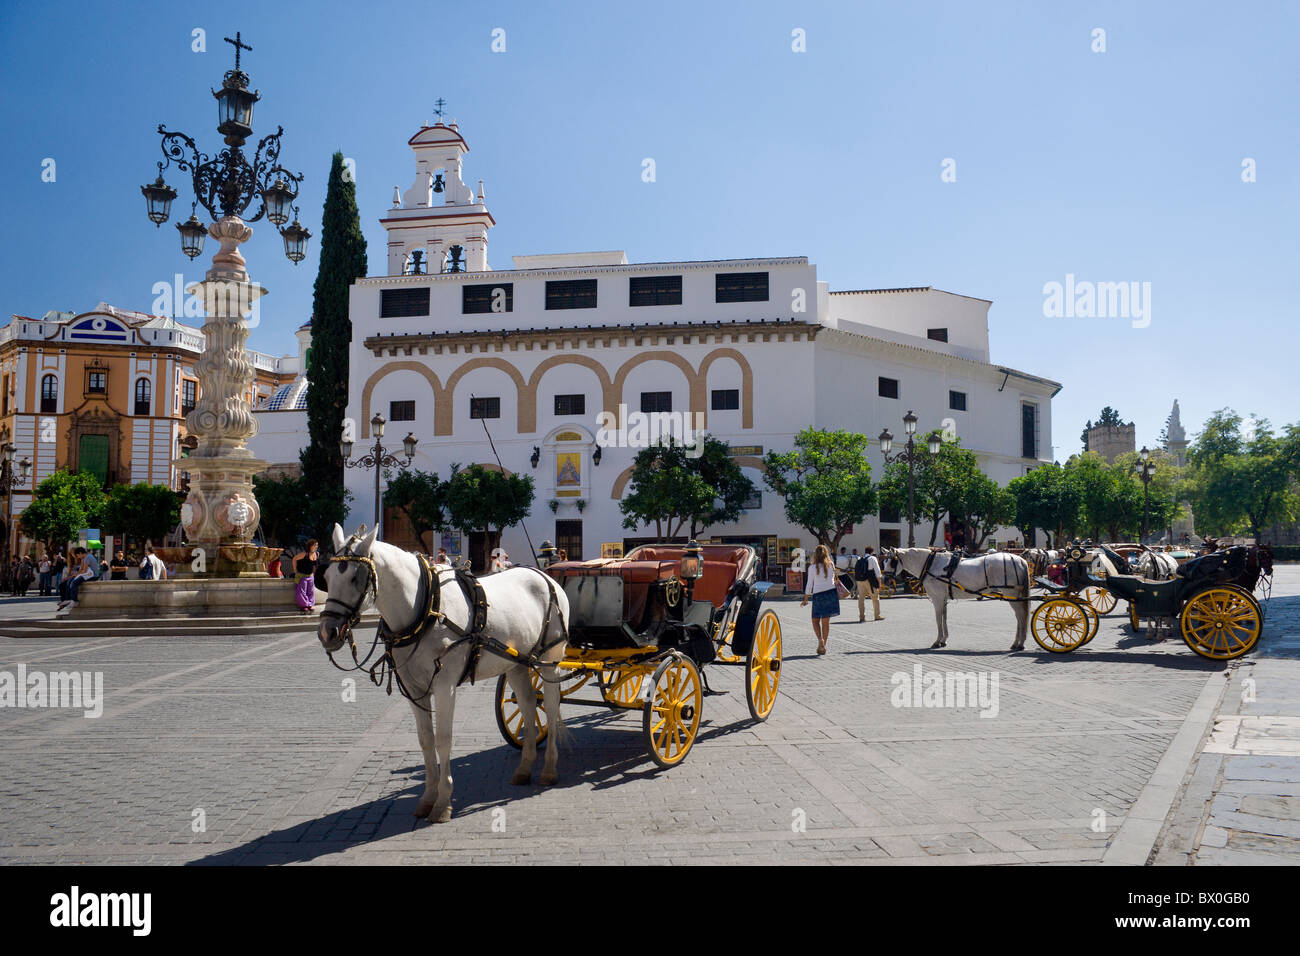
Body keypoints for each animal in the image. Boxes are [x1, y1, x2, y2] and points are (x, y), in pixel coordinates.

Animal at [315, 522, 569, 822]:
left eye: (356, 577)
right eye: (326, 577)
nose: (328, 632)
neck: (426, 607)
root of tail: (544, 575)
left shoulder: (444, 685)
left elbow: (443, 740)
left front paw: (443, 802)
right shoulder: (413, 688)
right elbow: (426, 741)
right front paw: (427, 798)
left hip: (550, 659)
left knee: (550, 707)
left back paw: (550, 769)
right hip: (517, 663)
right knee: (529, 705)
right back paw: (524, 767)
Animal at [889, 548, 1029, 655]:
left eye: (891, 561)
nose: (886, 579)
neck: (931, 564)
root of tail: (1019, 560)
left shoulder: (937, 599)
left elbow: (938, 620)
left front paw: (937, 641)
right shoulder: (943, 599)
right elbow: (944, 618)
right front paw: (944, 640)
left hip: (1011, 595)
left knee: (1020, 616)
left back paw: (1020, 643)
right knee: (1019, 616)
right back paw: (1017, 643)